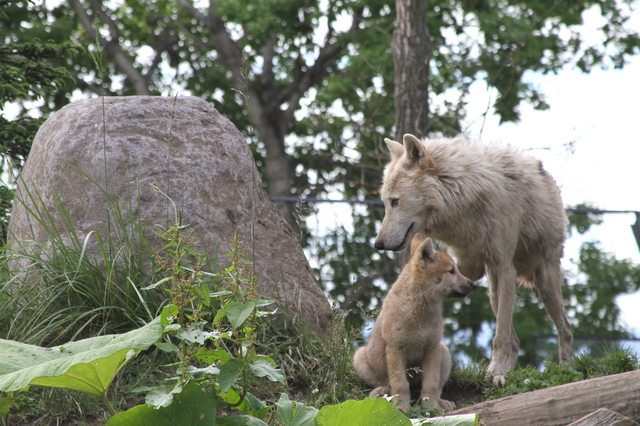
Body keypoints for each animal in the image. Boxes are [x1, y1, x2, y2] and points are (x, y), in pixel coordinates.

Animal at [372, 133, 572, 382]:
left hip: (544, 284)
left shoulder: (504, 267)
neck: (464, 196)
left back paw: (565, 369)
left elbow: (500, 336)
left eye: (395, 201)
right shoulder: (469, 266)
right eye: (385, 202)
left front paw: (496, 374)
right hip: (495, 288)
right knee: (515, 339)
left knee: (564, 329)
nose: (378, 244)